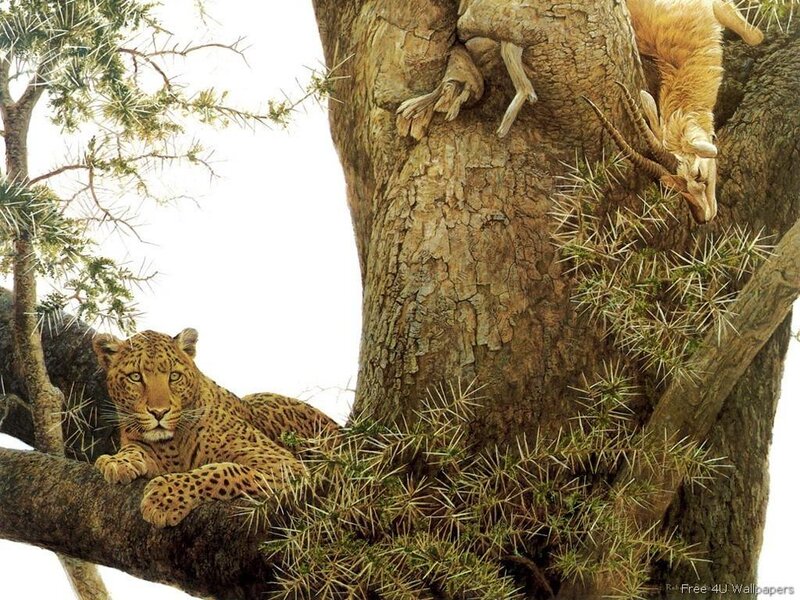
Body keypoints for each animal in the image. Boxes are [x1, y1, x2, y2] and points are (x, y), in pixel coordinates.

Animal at [92, 327, 335, 527]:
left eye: (174, 376)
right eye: (135, 377)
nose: (159, 412)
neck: (172, 445)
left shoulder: (280, 463)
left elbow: (221, 471)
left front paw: (164, 498)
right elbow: (133, 448)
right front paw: (117, 462)